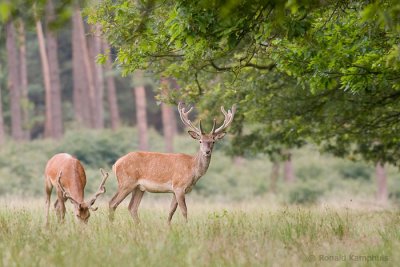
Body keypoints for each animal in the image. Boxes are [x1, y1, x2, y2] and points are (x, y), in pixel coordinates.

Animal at [108, 102, 236, 224]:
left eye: (213, 141)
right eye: (200, 141)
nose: (207, 151)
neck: (192, 169)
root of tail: (116, 164)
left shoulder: (175, 190)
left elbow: (171, 211)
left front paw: (168, 226)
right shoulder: (179, 186)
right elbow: (184, 210)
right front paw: (186, 226)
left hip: (139, 187)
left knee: (132, 207)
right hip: (126, 182)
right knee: (112, 202)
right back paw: (111, 225)